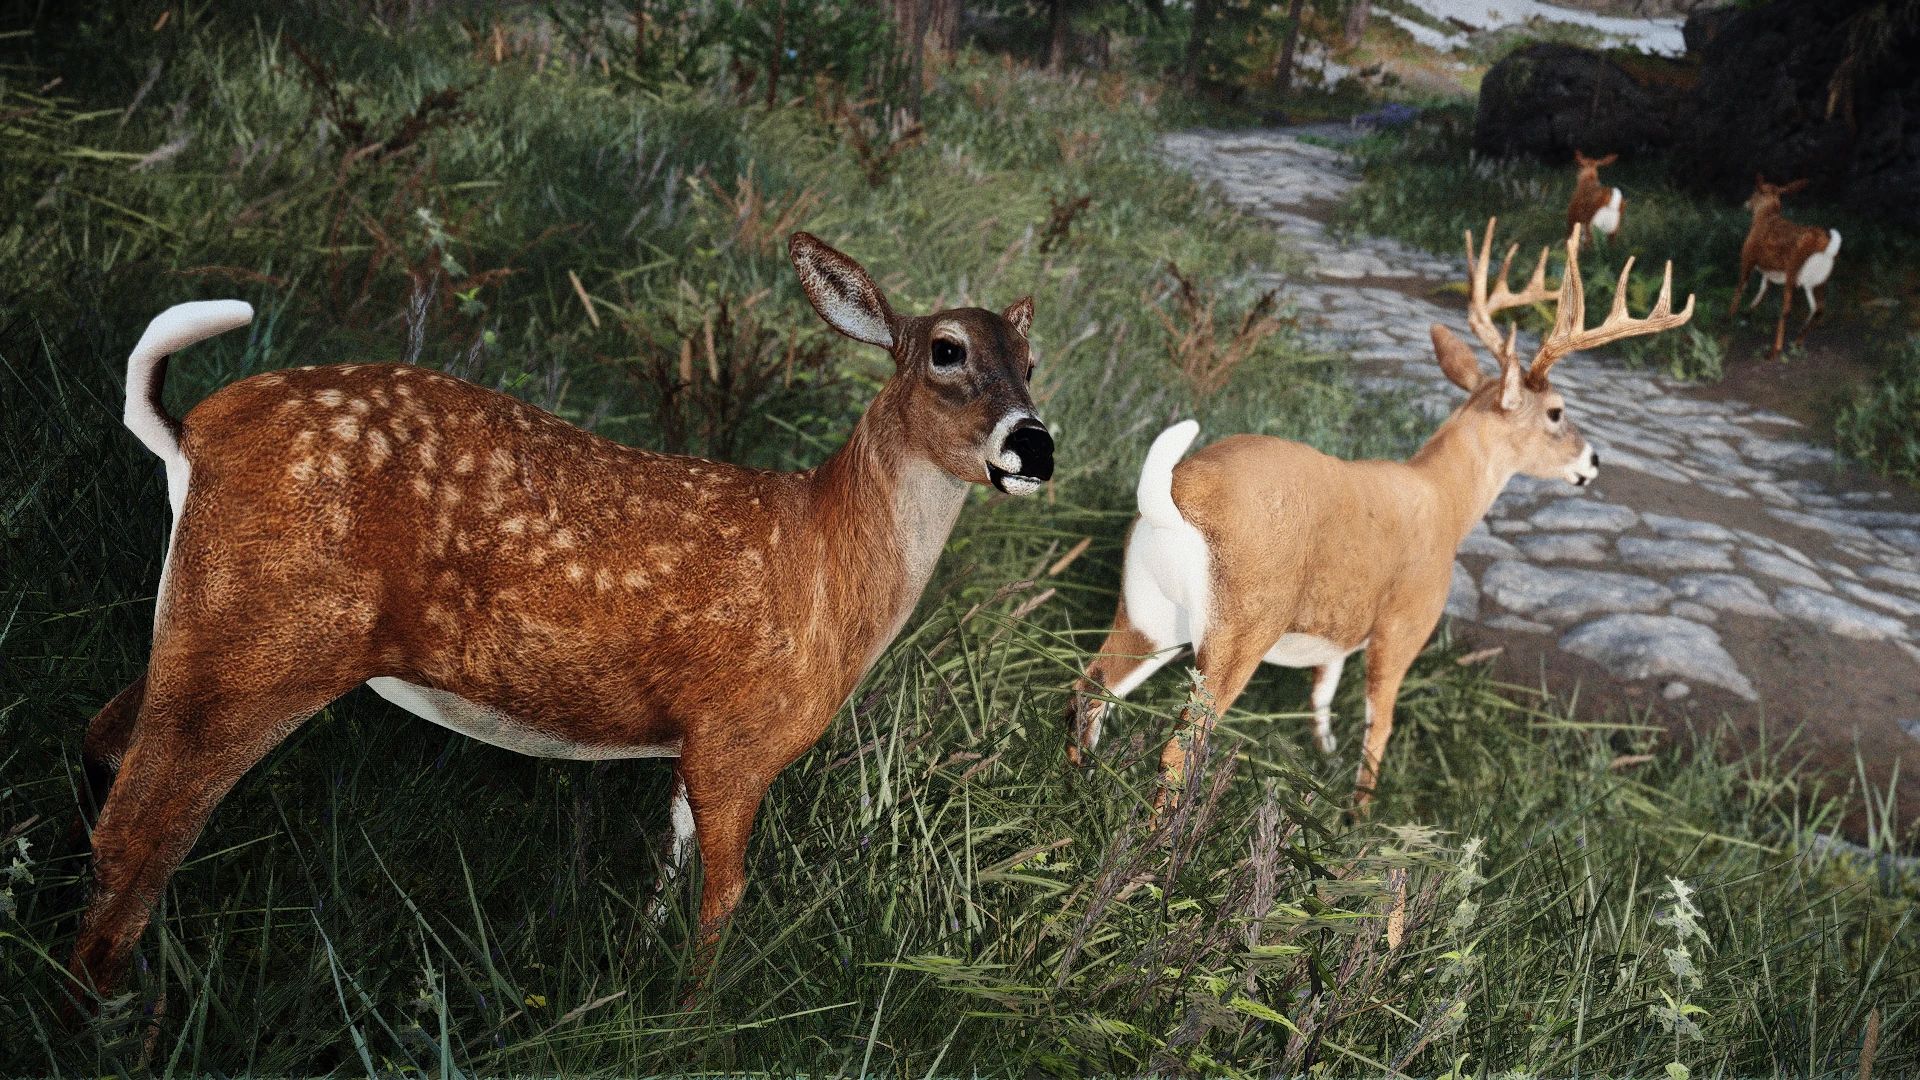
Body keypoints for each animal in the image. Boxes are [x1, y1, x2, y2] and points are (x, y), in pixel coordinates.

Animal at [60, 232, 1054, 1013]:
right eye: (946, 351)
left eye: (1032, 362)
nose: (1033, 443)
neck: (826, 566)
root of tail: (193, 431)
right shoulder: (737, 736)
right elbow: (723, 897)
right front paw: (690, 1020)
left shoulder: (690, 742)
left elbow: (666, 874)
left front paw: (632, 978)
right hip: (273, 632)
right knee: (145, 826)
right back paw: (113, 1013)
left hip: (205, 613)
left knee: (103, 740)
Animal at [1065, 221, 1693, 810]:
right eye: (1558, 412)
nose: (1593, 461)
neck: (1445, 502)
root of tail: (1175, 496)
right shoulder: (1404, 623)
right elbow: (1380, 724)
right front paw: (1357, 815)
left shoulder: (1342, 632)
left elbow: (1322, 692)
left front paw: (1322, 762)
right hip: (1242, 624)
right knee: (1177, 744)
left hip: (1146, 612)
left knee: (1088, 690)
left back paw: (1077, 792)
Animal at [1730, 175, 1840, 361]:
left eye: (1754, 192)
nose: (1746, 203)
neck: (1764, 217)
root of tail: (1826, 247)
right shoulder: (1770, 269)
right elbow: (1763, 289)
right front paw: (1747, 312)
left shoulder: (1747, 258)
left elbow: (1741, 286)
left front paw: (1730, 314)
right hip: (1818, 280)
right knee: (1818, 308)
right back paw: (1798, 340)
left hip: (1793, 271)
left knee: (1788, 309)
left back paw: (1774, 351)